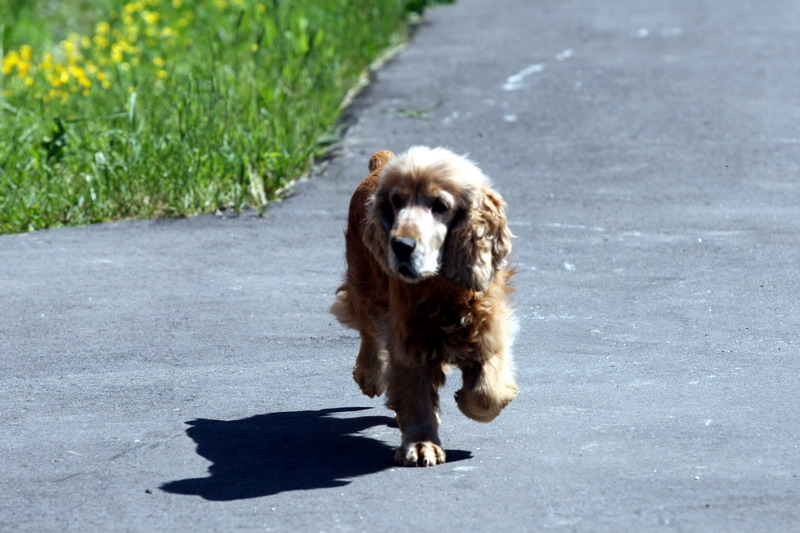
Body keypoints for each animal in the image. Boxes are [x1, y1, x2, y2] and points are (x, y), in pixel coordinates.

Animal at [332, 145, 520, 466]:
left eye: (441, 205)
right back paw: (370, 376)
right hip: (364, 282)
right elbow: (415, 396)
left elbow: (487, 393)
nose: (401, 245)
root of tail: (381, 163)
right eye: (396, 201)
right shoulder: (409, 342)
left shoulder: (487, 329)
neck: (441, 287)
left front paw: (466, 400)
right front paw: (421, 445)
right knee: (368, 328)